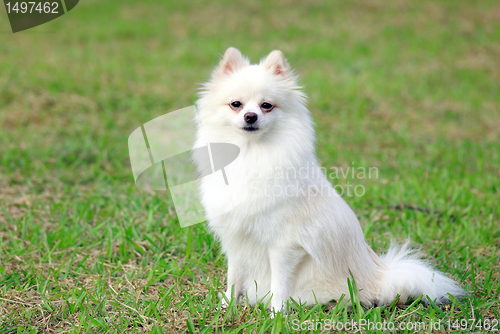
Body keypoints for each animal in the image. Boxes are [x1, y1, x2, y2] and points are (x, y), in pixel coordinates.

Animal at [193, 47, 462, 314]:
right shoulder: (235, 240)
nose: (250, 116)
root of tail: (380, 277)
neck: (250, 153)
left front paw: (277, 314)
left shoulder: (284, 245)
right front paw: (227, 305)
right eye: (235, 104)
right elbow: (234, 276)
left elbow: (279, 283)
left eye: (266, 105)